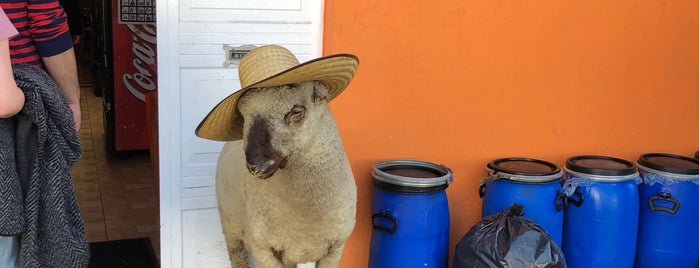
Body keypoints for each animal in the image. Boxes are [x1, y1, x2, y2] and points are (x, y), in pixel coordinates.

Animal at [216, 80, 358, 266]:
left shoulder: (336, 246)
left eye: (296, 112)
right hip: (232, 231)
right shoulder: (263, 249)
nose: (255, 165)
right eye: (244, 116)